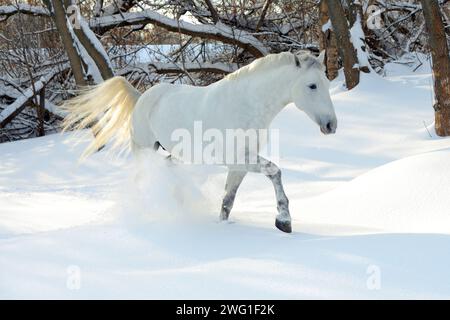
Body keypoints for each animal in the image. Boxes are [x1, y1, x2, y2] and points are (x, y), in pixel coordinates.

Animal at [63, 51, 338, 234]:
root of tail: (142, 97)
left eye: (326, 82)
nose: (331, 125)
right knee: (142, 180)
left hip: (176, 155)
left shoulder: (239, 166)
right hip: (144, 151)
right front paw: (284, 221)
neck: (246, 104)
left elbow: (228, 201)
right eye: (312, 85)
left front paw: (224, 225)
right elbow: (275, 171)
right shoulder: (239, 159)